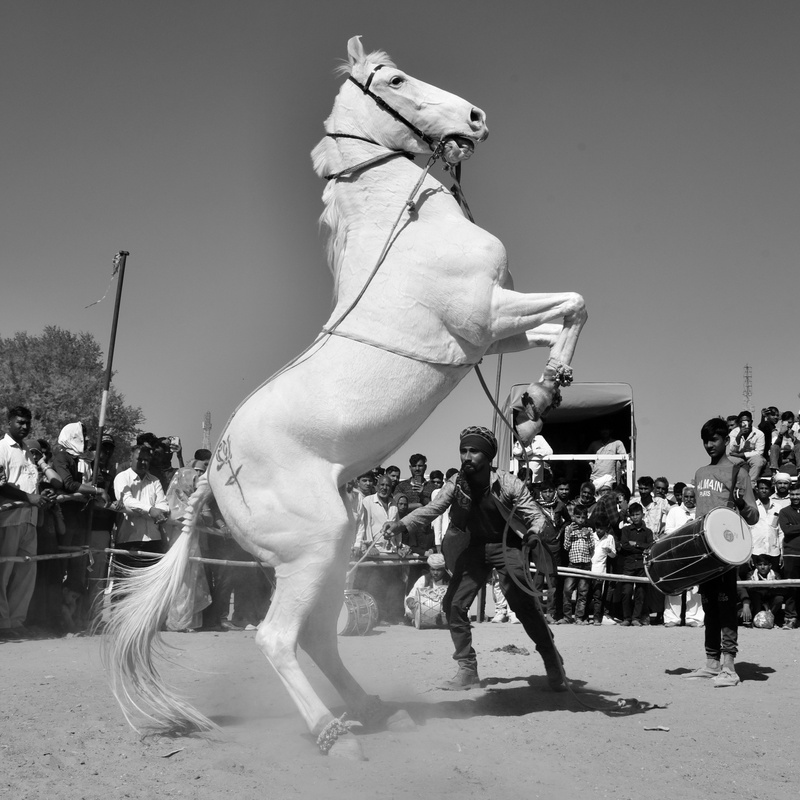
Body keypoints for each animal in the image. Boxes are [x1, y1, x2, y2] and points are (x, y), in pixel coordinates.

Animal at [103, 35, 587, 760]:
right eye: (394, 79)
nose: (475, 120)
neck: (408, 227)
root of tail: (214, 475)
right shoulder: (485, 315)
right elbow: (577, 304)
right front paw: (541, 400)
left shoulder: (495, 332)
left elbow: (563, 320)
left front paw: (535, 404)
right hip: (314, 547)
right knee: (277, 637)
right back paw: (335, 735)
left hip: (326, 554)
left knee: (316, 636)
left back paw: (372, 709)